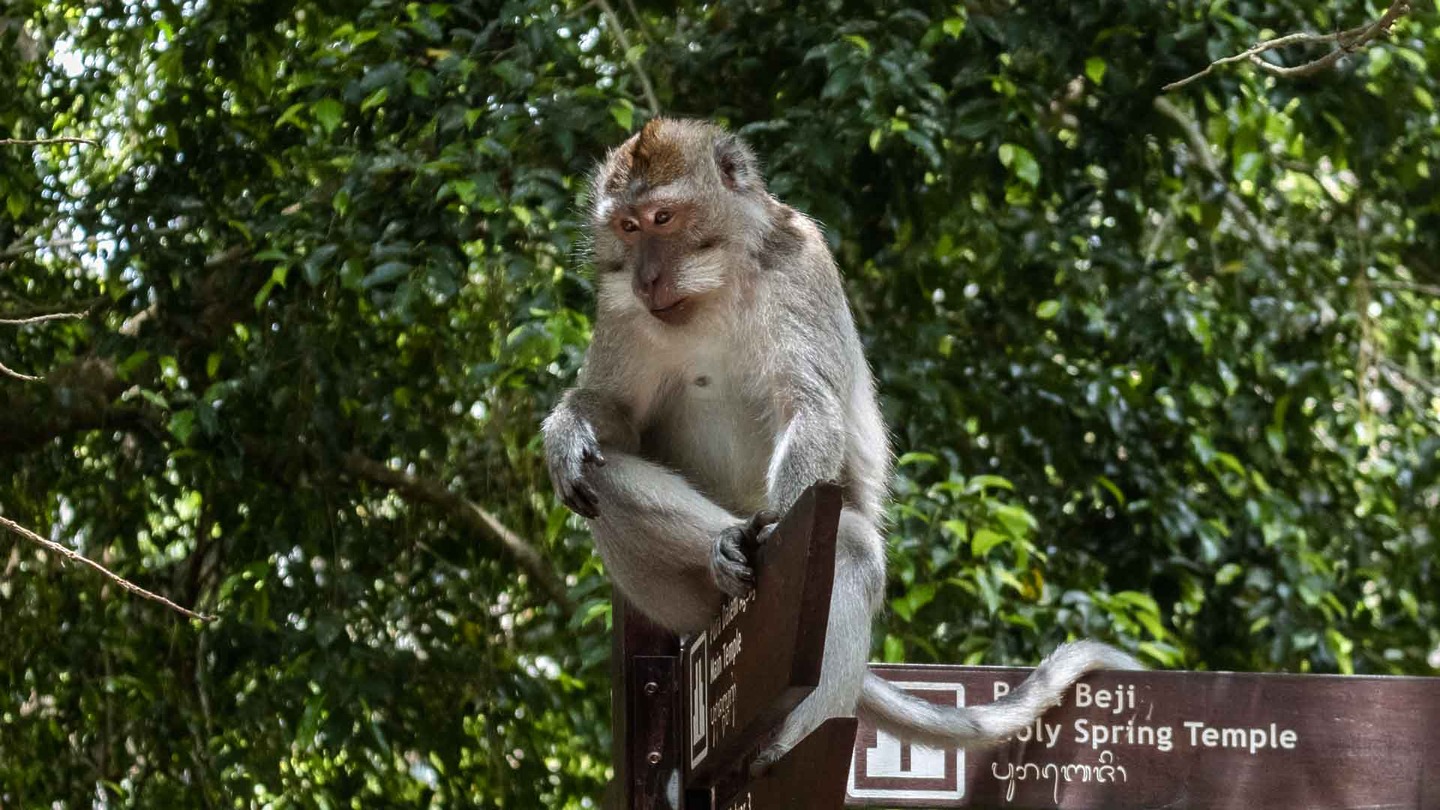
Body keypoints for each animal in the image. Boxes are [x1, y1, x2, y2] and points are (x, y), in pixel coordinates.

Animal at [542, 118, 1141, 773]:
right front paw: (568, 425)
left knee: (846, 544)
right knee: (598, 480)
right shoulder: (619, 306)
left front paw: (778, 530)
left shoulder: (799, 264)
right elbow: (619, 423)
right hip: (682, 604)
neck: (713, 288)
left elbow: (813, 409)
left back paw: (793, 730)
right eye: (628, 227)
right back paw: (720, 548)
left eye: (663, 218)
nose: (646, 276)